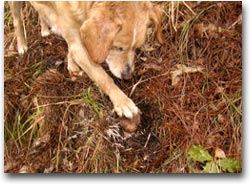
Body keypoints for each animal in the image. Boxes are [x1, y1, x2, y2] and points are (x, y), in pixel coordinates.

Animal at [8, 1, 164, 119]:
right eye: (117, 47)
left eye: (136, 48)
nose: (127, 76)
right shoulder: (79, 44)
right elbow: (103, 78)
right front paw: (122, 101)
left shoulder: (79, 34)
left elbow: (71, 48)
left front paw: (72, 66)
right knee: (17, 20)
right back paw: (22, 45)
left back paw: (45, 28)